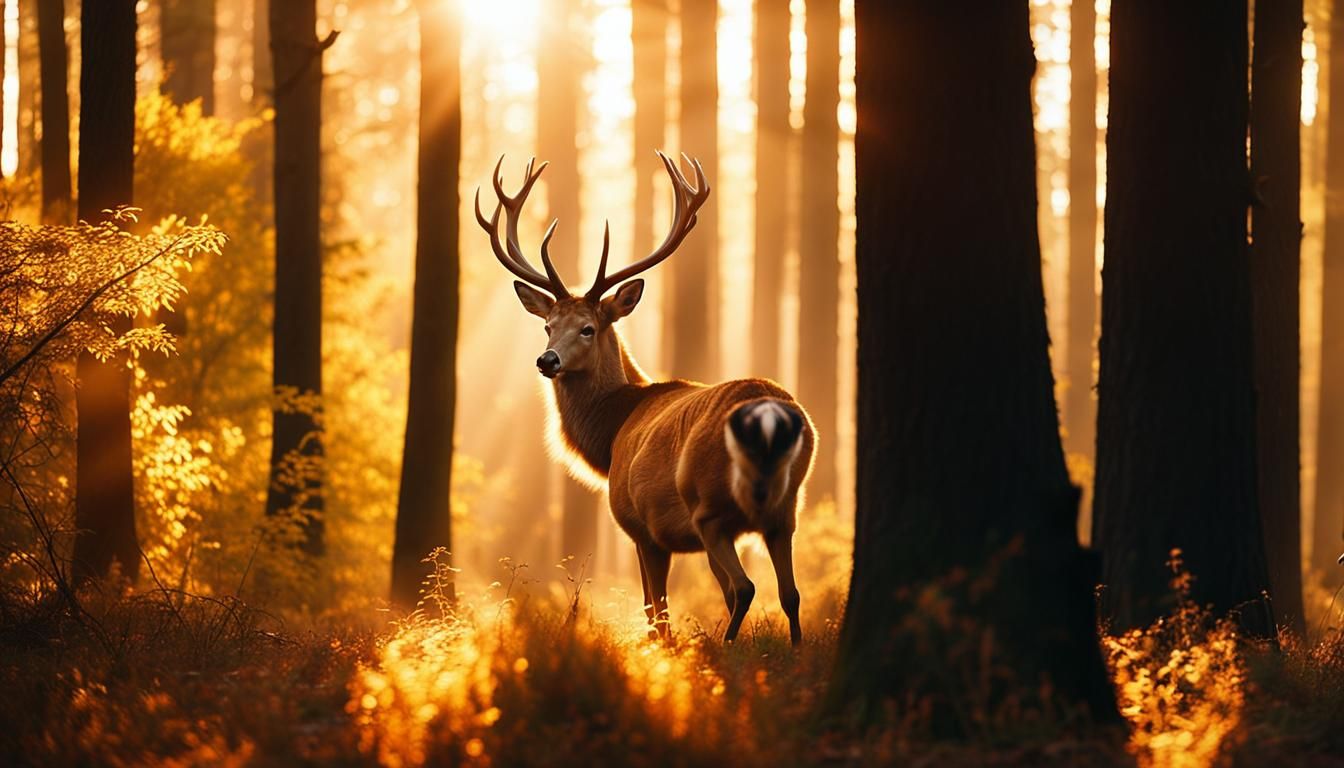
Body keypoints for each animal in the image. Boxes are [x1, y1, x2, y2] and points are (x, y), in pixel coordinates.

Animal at [475, 152, 815, 646]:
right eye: (547, 326)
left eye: (588, 328)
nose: (546, 359)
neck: (613, 431)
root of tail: (770, 413)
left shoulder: (640, 525)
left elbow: (656, 612)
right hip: (786, 507)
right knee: (790, 593)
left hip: (709, 506)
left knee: (744, 587)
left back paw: (725, 646)